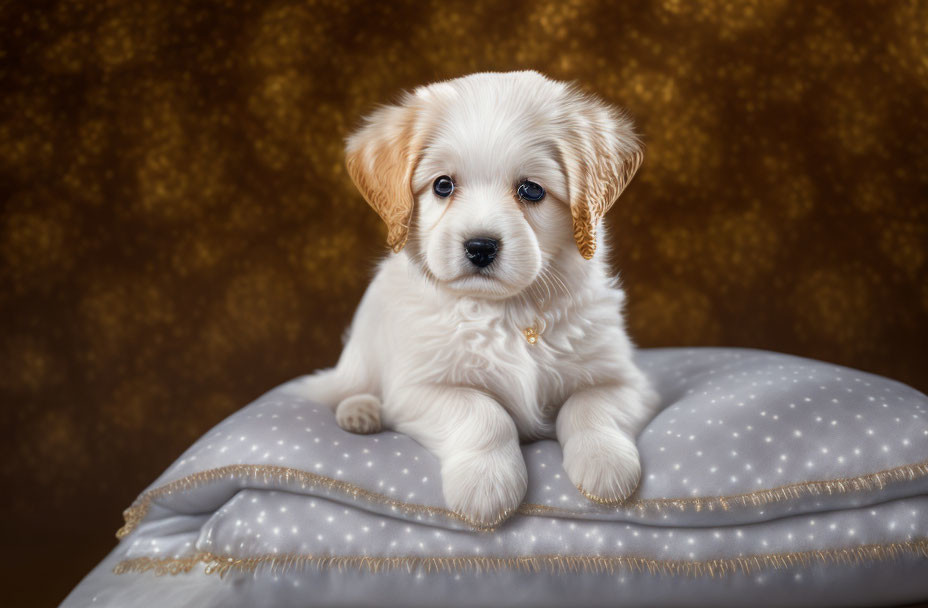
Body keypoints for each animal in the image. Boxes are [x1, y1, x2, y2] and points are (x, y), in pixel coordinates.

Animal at [300, 70, 656, 528]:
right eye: (443, 185)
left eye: (531, 190)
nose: (480, 247)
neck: (509, 311)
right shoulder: (419, 387)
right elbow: (483, 413)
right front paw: (486, 488)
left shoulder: (624, 379)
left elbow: (589, 406)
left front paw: (605, 467)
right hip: (363, 354)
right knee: (346, 386)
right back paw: (359, 412)